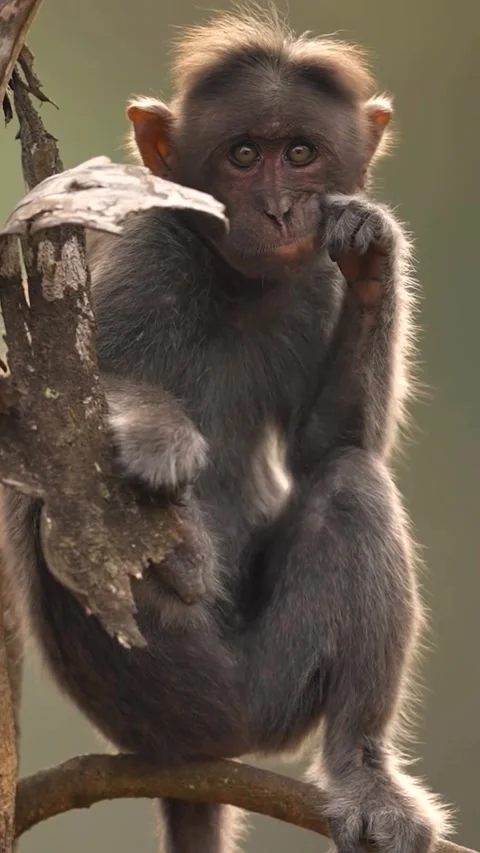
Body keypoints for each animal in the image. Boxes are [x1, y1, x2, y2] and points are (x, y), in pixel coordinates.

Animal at [0, 9, 451, 853]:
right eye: (243, 155)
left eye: (300, 154)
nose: (277, 210)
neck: (230, 271)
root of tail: (203, 753)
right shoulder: (141, 255)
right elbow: (39, 407)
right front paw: (159, 437)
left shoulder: (314, 278)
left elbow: (325, 444)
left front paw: (378, 252)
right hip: (184, 687)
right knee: (66, 509)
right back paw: (175, 548)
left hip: (273, 689)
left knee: (351, 481)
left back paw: (362, 769)